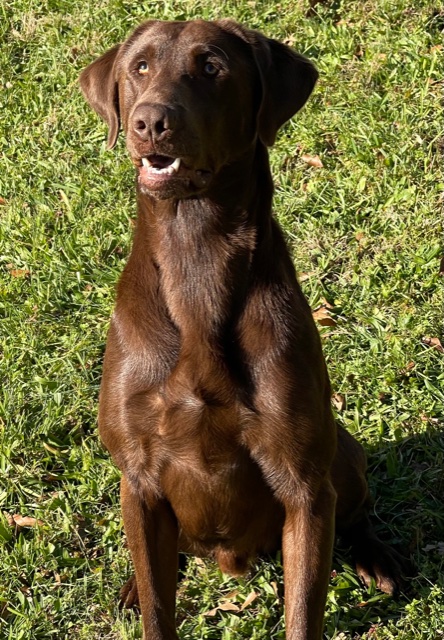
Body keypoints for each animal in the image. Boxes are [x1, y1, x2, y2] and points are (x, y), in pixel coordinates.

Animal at [79, 20, 406, 640]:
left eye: (212, 67)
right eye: (139, 67)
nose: (150, 121)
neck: (197, 253)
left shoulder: (305, 486)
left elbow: (304, 611)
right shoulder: (138, 477)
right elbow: (159, 608)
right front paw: (143, 593)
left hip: (342, 455)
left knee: (354, 507)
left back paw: (377, 557)